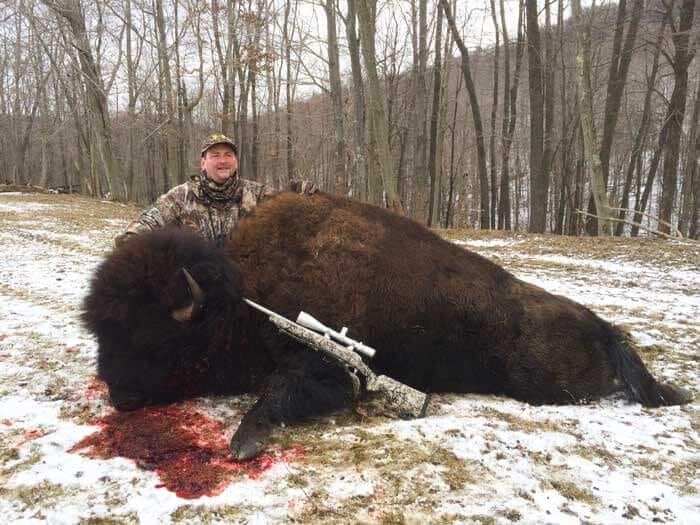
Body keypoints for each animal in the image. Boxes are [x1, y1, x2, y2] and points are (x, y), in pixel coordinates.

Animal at [82, 191, 688, 458]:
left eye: (151, 336)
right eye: (103, 331)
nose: (119, 396)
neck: (240, 295)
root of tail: (604, 326)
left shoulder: (323, 372)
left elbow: (276, 394)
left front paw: (243, 444)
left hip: (554, 388)